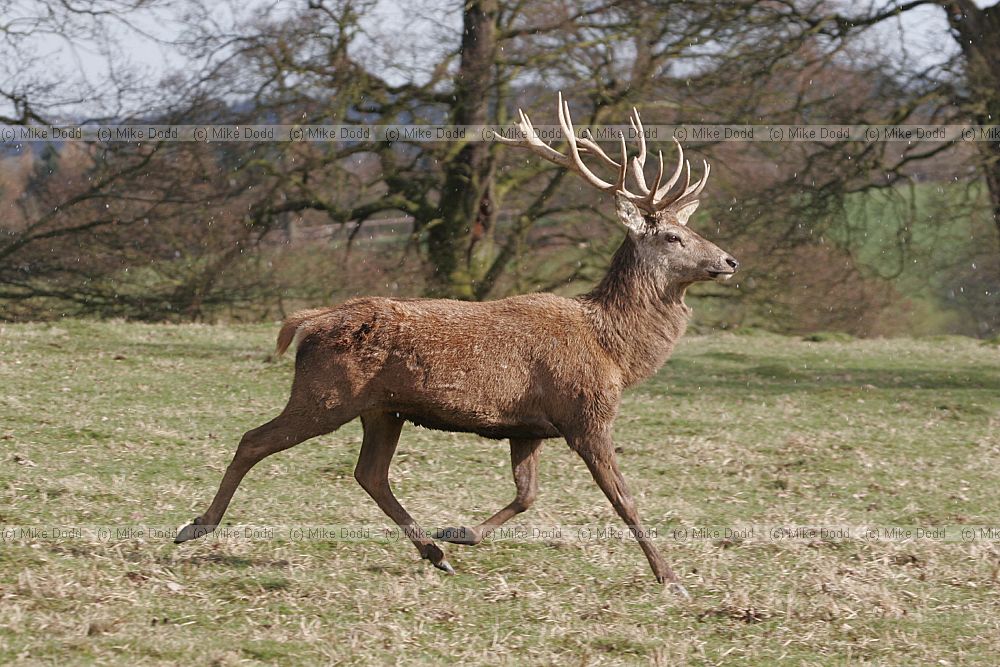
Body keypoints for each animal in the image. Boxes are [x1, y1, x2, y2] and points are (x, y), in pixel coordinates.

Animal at [174, 93, 739, 597]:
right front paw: (671, 579)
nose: (729, 261)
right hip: (325, 395)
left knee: (369, 473)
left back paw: (435, 552)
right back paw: (196, 525)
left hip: (383, 409)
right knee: (254, 440)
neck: (616, 352)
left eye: (688, 227)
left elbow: (528, 494)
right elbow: (624, 500)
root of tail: (307, 321)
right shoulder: (585, 412)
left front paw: (460, 532)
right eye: (672, 237)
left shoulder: (530, 427)